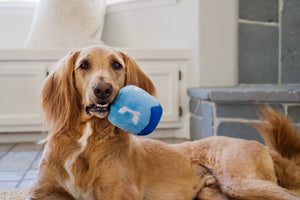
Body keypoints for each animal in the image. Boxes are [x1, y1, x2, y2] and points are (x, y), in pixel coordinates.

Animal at [28, 46, 300, 199]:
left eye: (116, 64)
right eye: (83, 65)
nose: (103, 90)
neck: (86, 139)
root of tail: (261, 146)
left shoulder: (121, 193)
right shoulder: (43, 192)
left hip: (241, 182)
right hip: (215, 194)